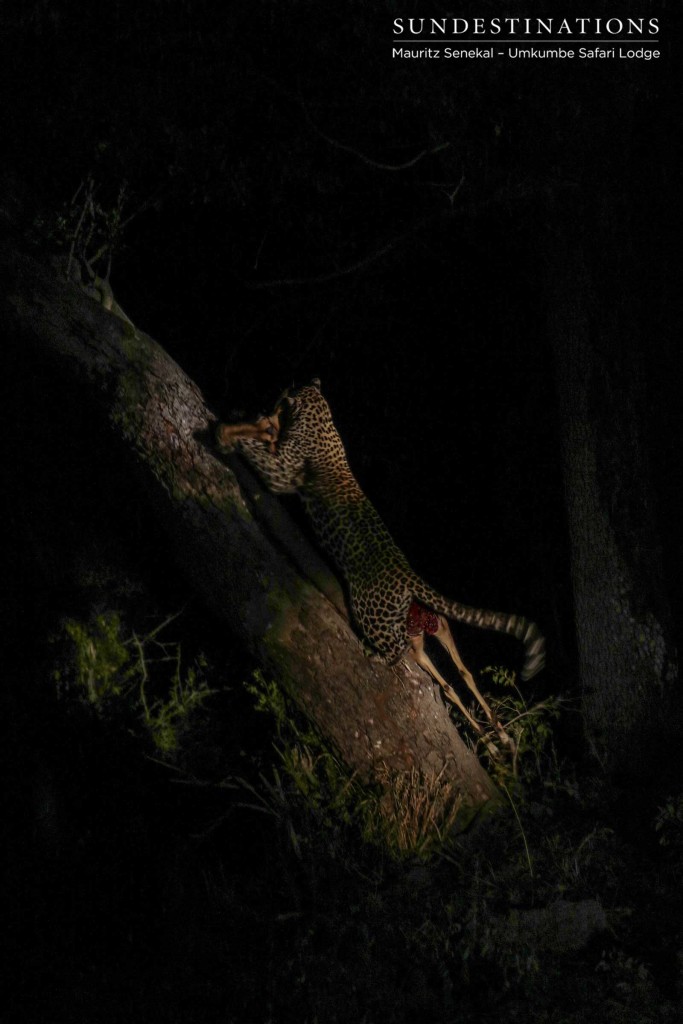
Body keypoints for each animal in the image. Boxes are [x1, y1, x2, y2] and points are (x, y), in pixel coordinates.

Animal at [216, 376, 548, 745]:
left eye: (280, 400)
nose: (270, 407)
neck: (320, 416)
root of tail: (408, 575)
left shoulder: (283, 471)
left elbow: (261, 455)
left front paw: (230, 433)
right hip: (420, 623)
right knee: (454, 670)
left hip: (371, 615)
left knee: (399, 652)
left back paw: (377, 659)